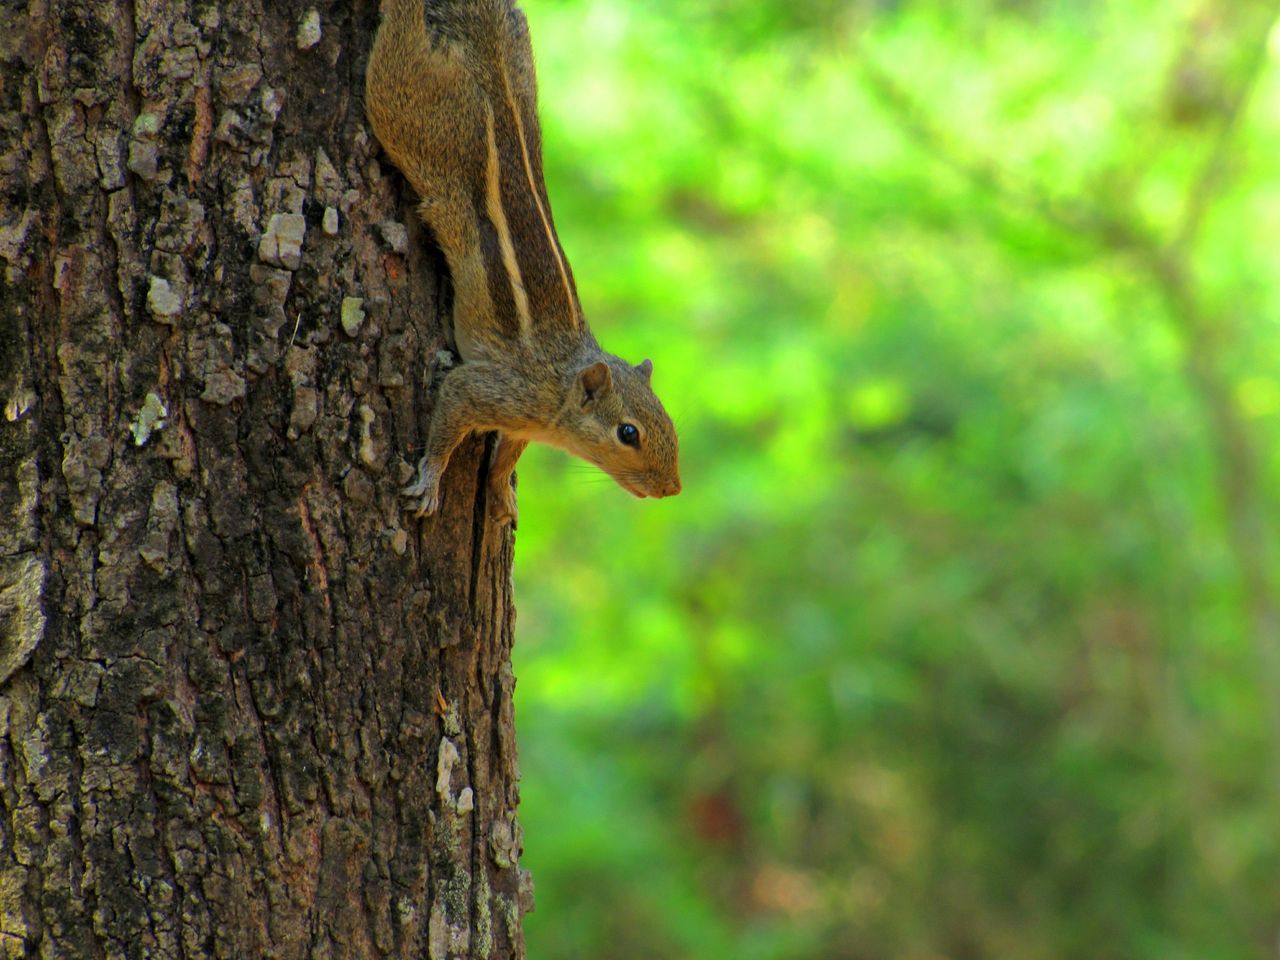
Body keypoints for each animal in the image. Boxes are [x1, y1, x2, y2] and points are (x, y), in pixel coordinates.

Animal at [365, 0, 681, 524]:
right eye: (628, 433)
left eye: (668, 419)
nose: (672, 489)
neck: (560, 386)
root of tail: (494, 84)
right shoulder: (493, 389)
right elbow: (450, 419)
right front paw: (430, 478)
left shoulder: (520, 426)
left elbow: (505, 460)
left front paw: (499, 495)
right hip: (411, 111)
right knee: (398, 51)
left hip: (520, 52)